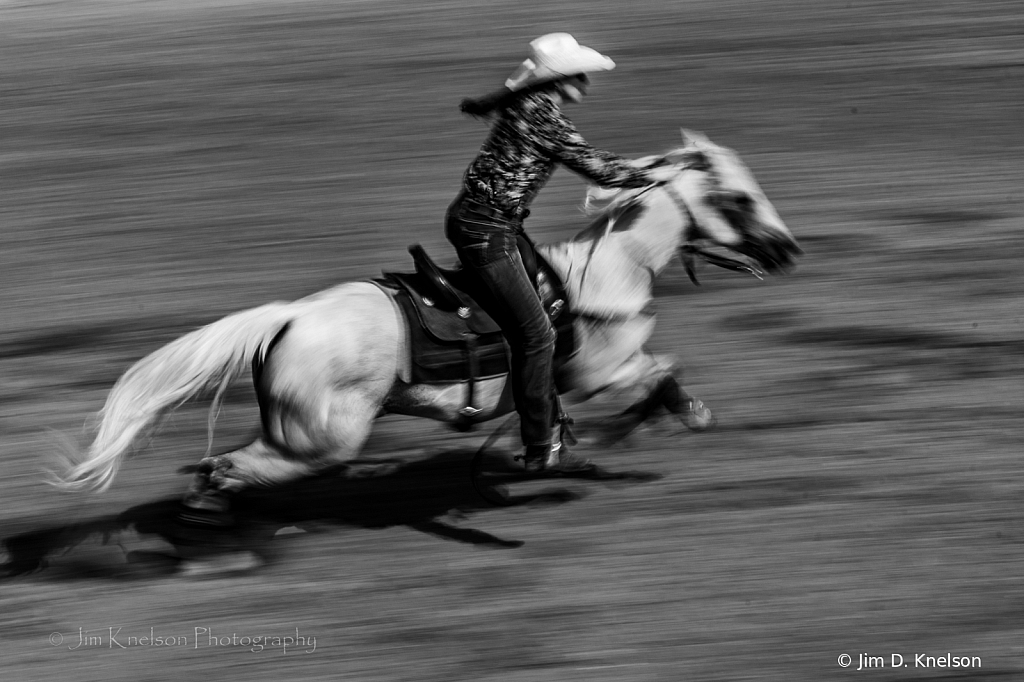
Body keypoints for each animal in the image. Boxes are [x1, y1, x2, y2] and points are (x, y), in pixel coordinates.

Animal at [49, 129, 798, 516]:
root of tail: (287, 316)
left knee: (225, 465)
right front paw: (674, 419)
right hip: (322, 439)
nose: (787, 249)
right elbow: (661, 371)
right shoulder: (601, 371)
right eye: (736, 198)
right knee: (228, 467)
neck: (607, 270)